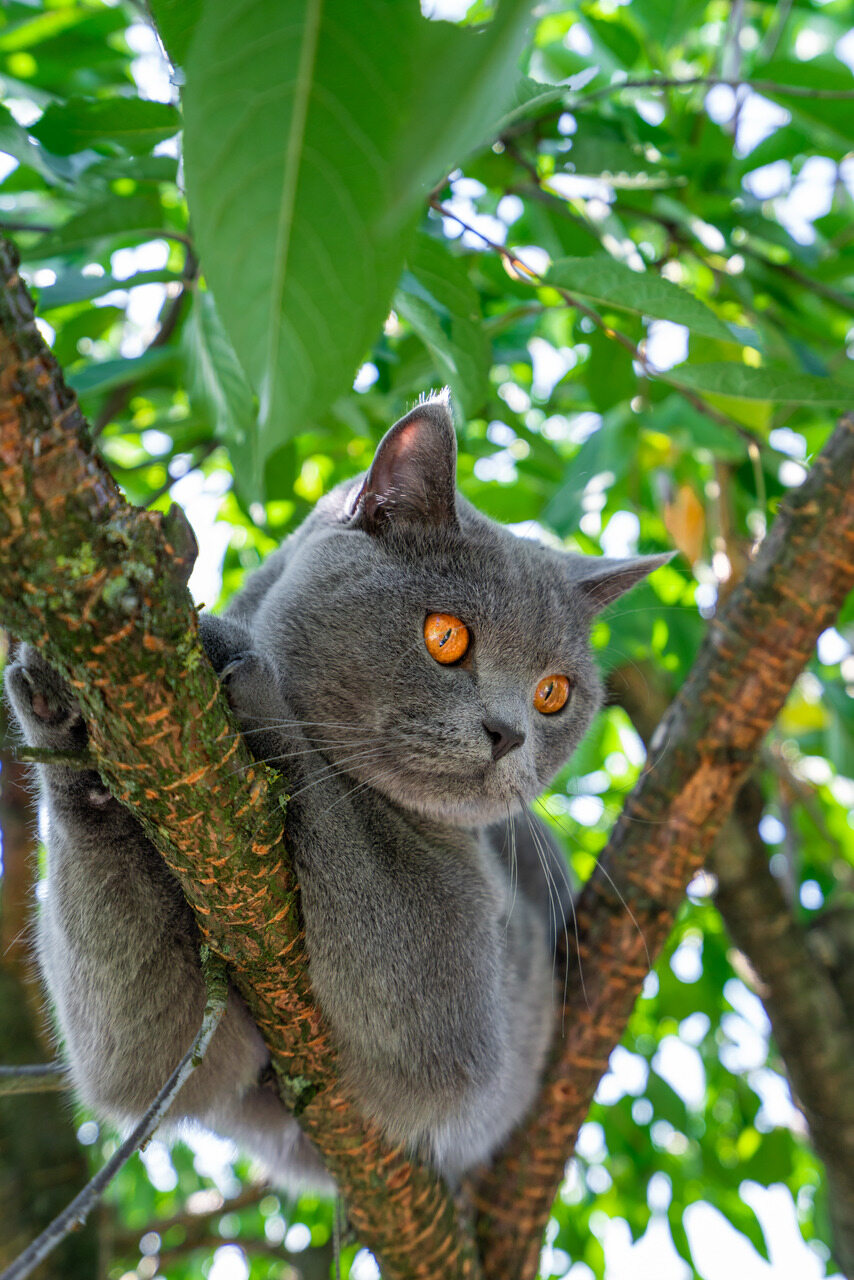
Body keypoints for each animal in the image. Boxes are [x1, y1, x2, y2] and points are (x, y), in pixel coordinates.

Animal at [5, 394, 665, 1182]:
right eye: (446, 636)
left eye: (552, 694)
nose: (508, 733)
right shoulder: (175, 1050)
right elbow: (139, 1058)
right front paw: (57, 695)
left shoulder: (465, 992)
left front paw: (240, 662)